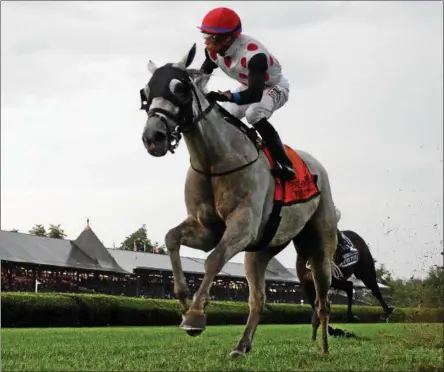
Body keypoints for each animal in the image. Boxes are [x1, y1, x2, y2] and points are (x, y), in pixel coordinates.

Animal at [140, 44, 342, 358]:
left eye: (180, 88)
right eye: (146, 93)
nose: (153, 137)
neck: (215, 161)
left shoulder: (242, 226)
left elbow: (213, 260)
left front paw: (195, 316)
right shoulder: (206, 229)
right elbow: (172, 238)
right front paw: (184, 303)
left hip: (320, 245)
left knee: (323, 299)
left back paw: (323, 348)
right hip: (259, 251)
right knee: (258, 298)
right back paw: (242, 344)